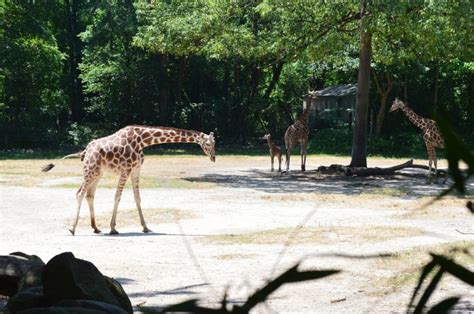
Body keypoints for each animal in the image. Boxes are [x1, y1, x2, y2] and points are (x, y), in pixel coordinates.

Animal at [42, 125, 217, 236]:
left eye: (214, 143)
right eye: (208, 144)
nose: (214, 158)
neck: (143, 140)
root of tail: (84, 151)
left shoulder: (136, 170)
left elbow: (137, 197)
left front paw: (145, 227)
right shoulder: (125, 170)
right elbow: (117, 197)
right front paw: (113, 228)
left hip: (98, 173)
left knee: (89, 195)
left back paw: (96, 228)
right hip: (90, 171)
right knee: (79, 193)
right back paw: (72, 229)